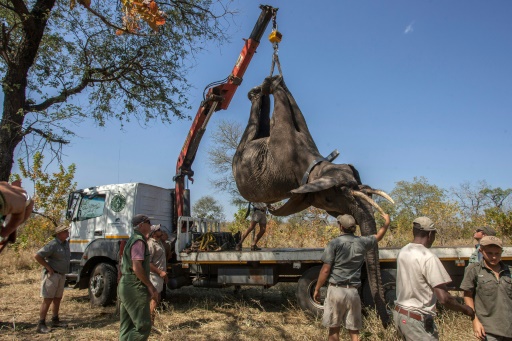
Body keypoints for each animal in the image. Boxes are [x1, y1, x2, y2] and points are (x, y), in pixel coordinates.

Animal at [234, 74, 394, 324]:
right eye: (333, 196)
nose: (385, 319)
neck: (314, 166)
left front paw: (274, 82)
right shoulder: (285, 150)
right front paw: (274, 82)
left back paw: (257, 91)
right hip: (241, 154)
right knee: (253, 128)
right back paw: (257, 91)